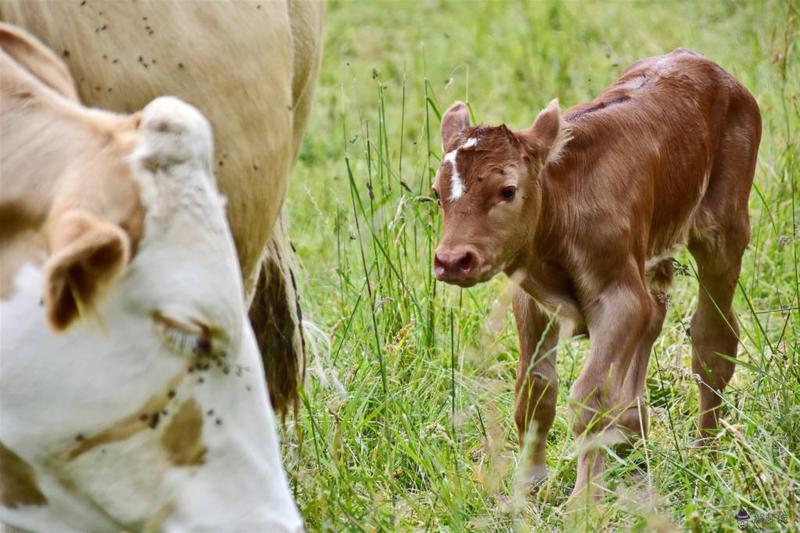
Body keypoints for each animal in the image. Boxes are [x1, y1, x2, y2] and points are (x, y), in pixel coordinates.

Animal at [434, 48, 760, 498]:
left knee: (713, 339)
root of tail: (701, 62)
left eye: (508, 190)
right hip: (655, 250)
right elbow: (534, 390)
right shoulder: (529, 297)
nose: (452, 260)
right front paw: (530, 485)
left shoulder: (619, 298)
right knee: (656, 318)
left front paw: (585, 500)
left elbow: (590, 397)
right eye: (436, 193)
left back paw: (704, 455)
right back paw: (632, 439)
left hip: (725, 231)